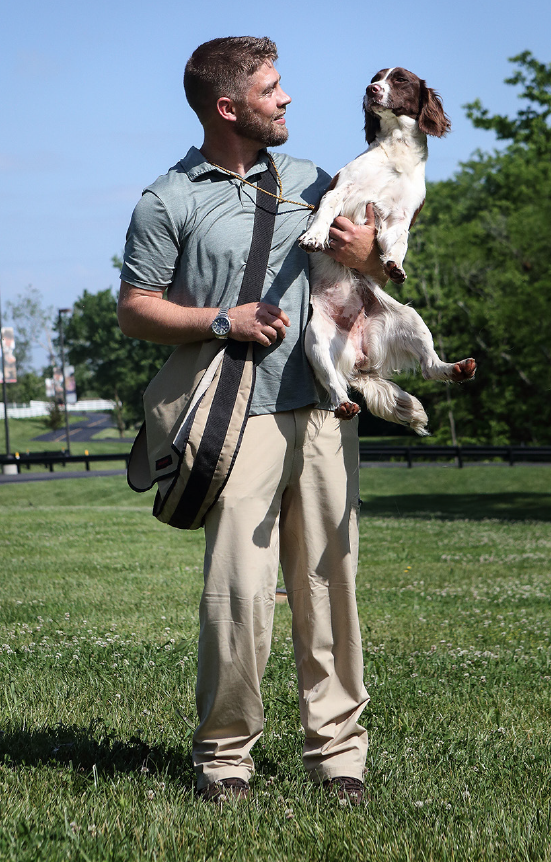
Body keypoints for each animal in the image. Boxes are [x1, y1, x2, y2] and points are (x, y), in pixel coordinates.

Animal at [300, 67, 476, 436]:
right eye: (376, 77)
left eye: (400, 80)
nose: (371, 89)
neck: (397, 152)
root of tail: (360, 358)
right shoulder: (343, 190)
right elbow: (326, 211)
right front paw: (315, 236)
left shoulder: (400, 218)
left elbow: (398, 243)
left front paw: (394, 265)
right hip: (316, 341)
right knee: (335, 387)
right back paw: (344, 404)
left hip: (412, 320)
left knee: (429, 366)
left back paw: (457, 368)